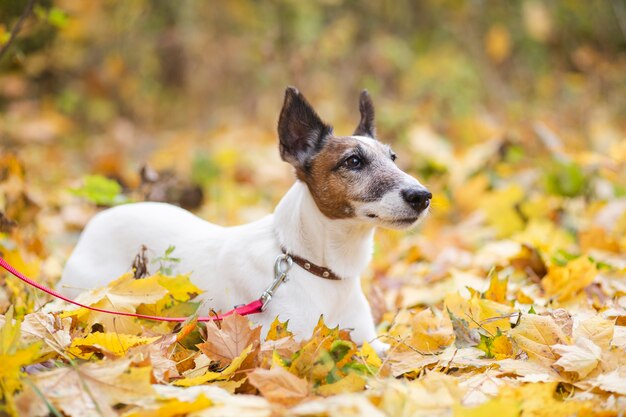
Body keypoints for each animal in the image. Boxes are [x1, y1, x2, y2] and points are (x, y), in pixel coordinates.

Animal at [58, 87, 428, 352]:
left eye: (393, 158)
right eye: (353, 161)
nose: (423, 196)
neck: (312, 266)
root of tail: (104, 216)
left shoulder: (370, 342)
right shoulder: (281, 343)